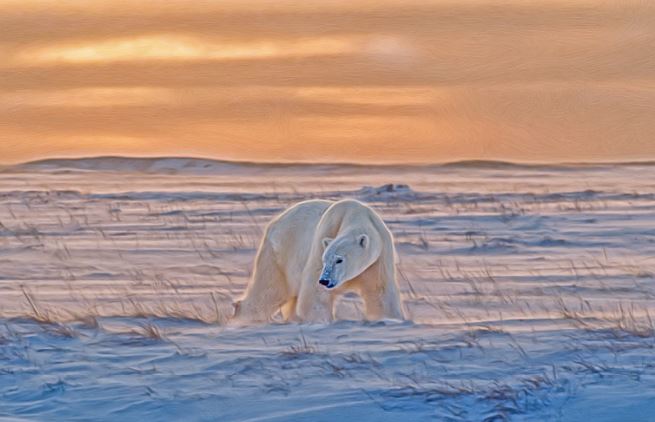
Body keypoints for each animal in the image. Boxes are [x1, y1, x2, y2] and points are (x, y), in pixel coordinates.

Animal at [233, 199, 402, 324]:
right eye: (325, 259)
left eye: (339, 260)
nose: (325, 280)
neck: (355, 214)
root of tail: (276, 221)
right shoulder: (324, 235)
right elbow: (314, 293)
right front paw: (320, 321)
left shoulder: (378, 259)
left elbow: (380, 294)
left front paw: (389, 319)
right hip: (279, 254)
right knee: (268, 290)